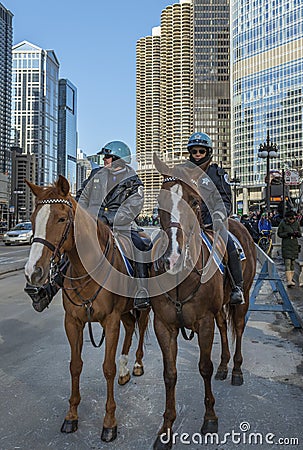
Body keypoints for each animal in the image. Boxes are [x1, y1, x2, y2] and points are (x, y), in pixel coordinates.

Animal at [24, 176, 150, 442]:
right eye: (32, 217)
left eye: (62, 218)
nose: (33, 272)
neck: (88, 269)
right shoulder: (73, 322)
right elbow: (75, 366)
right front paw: (71, 416)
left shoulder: (110, 321)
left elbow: (107, 368)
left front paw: (109, 422)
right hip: (125, 311)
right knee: (130, 327)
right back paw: (125, 369)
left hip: (143, 307)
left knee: (142, 327)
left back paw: (136, 365)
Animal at [152, 155, 256, 450]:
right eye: (160, 203)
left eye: (195, 202)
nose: (172, 258)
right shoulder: (163, 325)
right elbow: (170, 374)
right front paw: (166, 429)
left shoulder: (204, 322)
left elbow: (203, 368)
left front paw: (210, 417)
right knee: (224, 327)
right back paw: (224, 366)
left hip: (242, 298)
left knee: (238, 328)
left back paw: (236, 370)